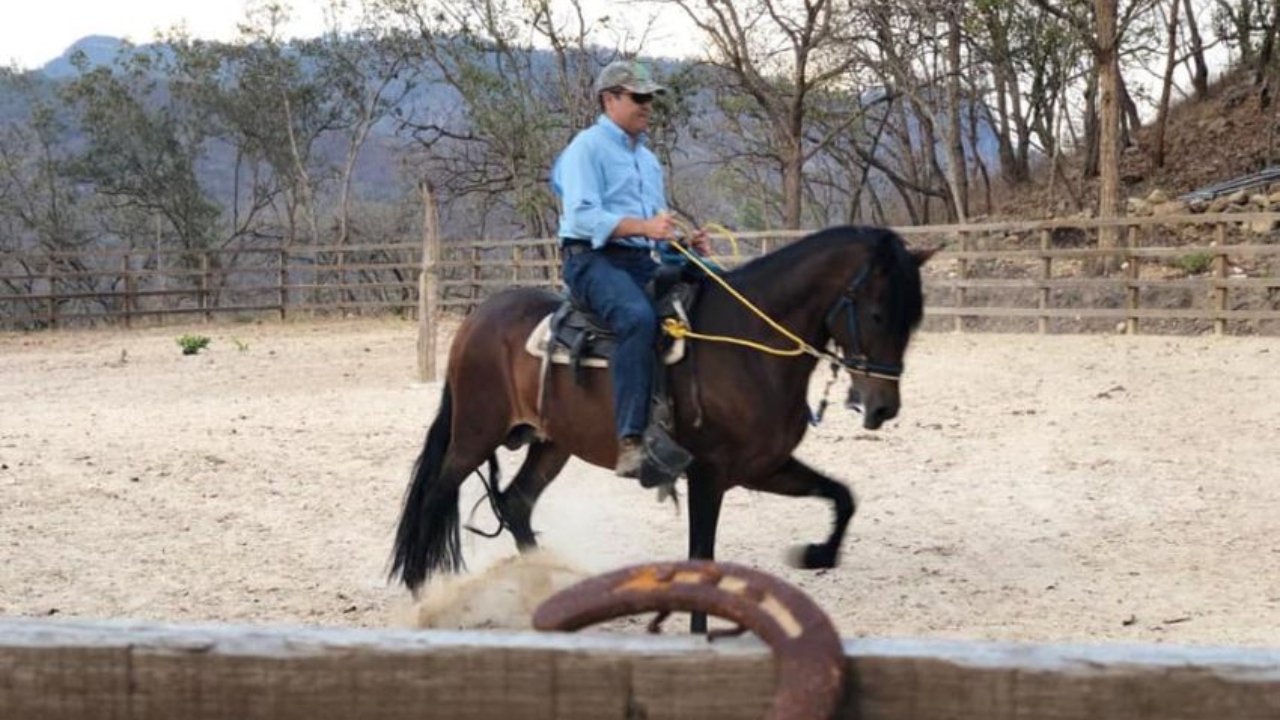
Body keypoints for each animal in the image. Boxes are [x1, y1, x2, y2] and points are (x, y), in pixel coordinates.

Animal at [390, 225, 937, 631]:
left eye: (914, 319)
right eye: (877, 313)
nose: (883, 407)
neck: (747, 343)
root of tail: (477, 319)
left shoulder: (764, 467)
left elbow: (842, 496)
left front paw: (815, 553)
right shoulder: (709, 473)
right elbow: (702, 557)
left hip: (552, 444)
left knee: (516, 502)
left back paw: (549, 590)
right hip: (474, 434)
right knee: (435, 495)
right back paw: (423, 593)